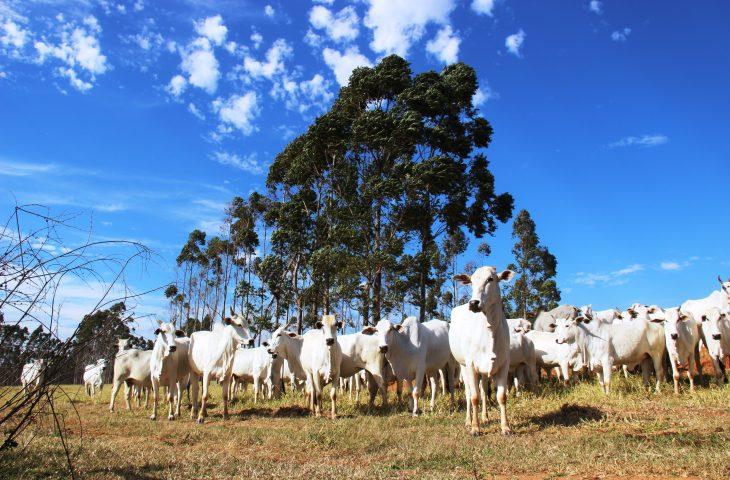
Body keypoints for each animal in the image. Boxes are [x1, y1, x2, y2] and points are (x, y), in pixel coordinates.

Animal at [446, 266, 516, 436]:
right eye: (471, 281)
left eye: (491, 279)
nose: (473, 303)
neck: (489, 330)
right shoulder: (471, 365)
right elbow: (474, 397)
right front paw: (475, 428)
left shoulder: (503, 365)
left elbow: (501, 396)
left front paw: (505, 427)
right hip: (463, 366)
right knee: (469, 392)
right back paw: (468, 420)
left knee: (484, 390)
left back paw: (485, 417)